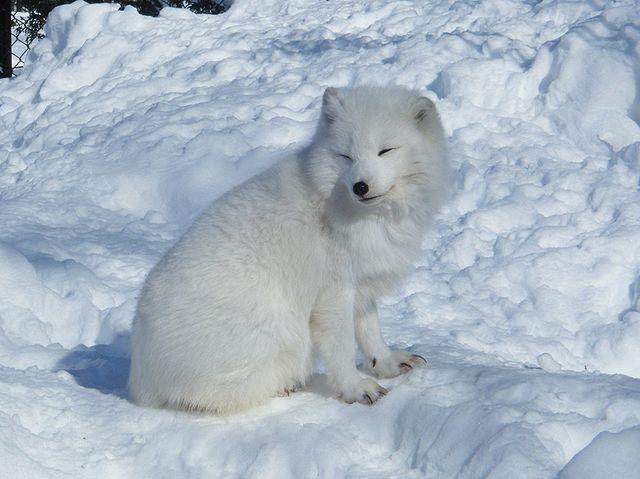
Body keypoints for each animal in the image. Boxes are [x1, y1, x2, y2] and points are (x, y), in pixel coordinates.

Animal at [129, 87, 450, 416]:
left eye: (385, 150)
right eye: (345, 156)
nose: (359, 186)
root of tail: (141, 377)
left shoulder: (362, 286)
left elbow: (370, 332)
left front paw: (385, 364)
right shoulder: (334, 293)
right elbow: (343, 347)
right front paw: (356, 388)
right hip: (281, 333)